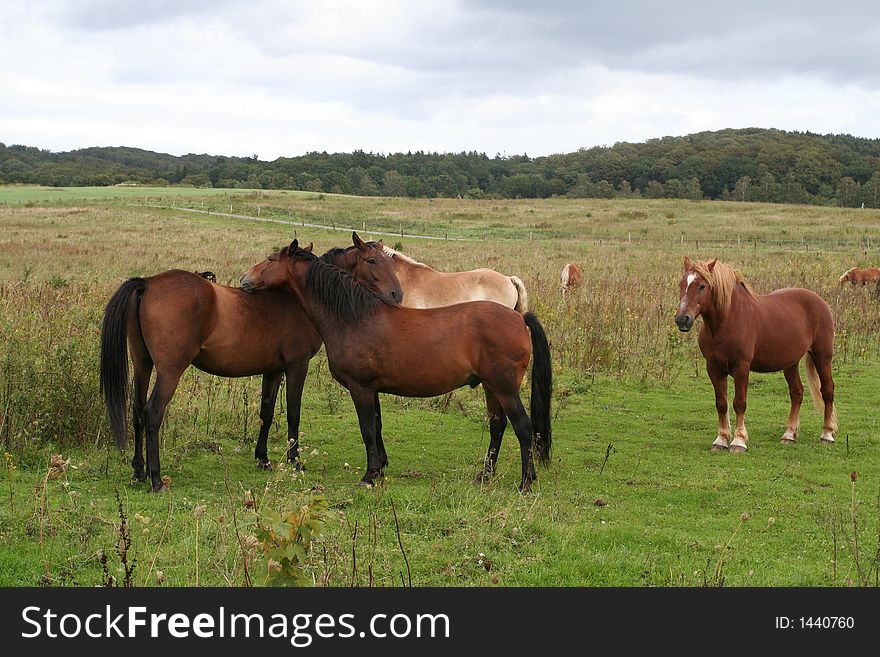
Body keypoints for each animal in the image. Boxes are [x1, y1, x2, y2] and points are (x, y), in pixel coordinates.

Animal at [99, 233, 398, 490]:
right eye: (372, 261)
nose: (397, 295)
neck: (296, 300)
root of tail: (148, 282)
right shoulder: (297, 366)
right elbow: (293, 412)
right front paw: (295, 461)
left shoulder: (273, 370)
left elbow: (266, 412)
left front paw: (263, 458)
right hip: (170, 371)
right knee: (152, 413)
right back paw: (156, 478)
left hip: (143, 365)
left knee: (138, 411)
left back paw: (139, 471)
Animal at [672, 256, 840, 452]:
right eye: (681, 284)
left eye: (702, 286)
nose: (682, 319)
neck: (727, 321)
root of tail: (820, 301)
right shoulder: (714, 368)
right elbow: (721, 403)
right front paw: (721, 440)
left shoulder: (741, 367)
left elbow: (739, 403)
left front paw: (739, 441)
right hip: (790, 363)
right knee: (797, 392)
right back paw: (789, 435)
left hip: (822, 357)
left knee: (827, 390)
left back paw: (827, 434)